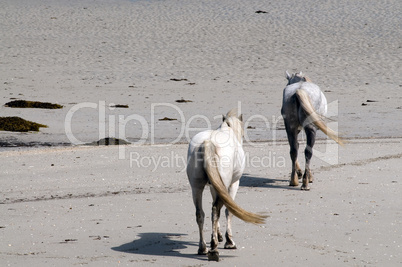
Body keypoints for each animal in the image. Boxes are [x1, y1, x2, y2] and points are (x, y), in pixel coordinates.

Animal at [186, 109, 266, 262]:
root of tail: (208, 142)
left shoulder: (214, 186)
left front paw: (217, 235)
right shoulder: (233, 184)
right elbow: (229, 210)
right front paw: (229, 241)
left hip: (196, 187)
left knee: (200, 213)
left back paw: (203, 247)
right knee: (215, 211)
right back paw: (214, 249)